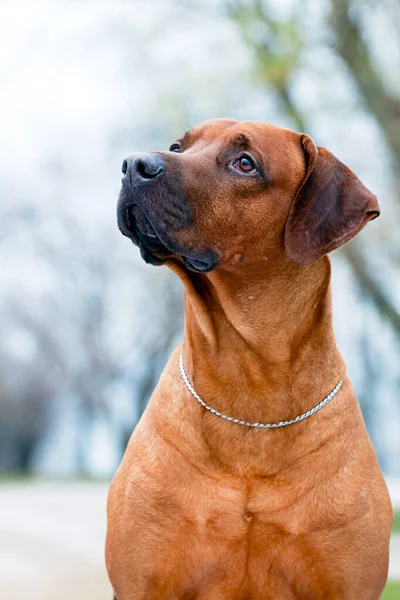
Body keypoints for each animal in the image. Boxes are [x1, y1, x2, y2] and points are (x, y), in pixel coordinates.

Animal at [105, 119, 390, 596]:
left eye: (245, 163)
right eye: (178, 147)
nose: (132, 164)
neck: (252, 385)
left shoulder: (350, 582)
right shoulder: (143, 580)